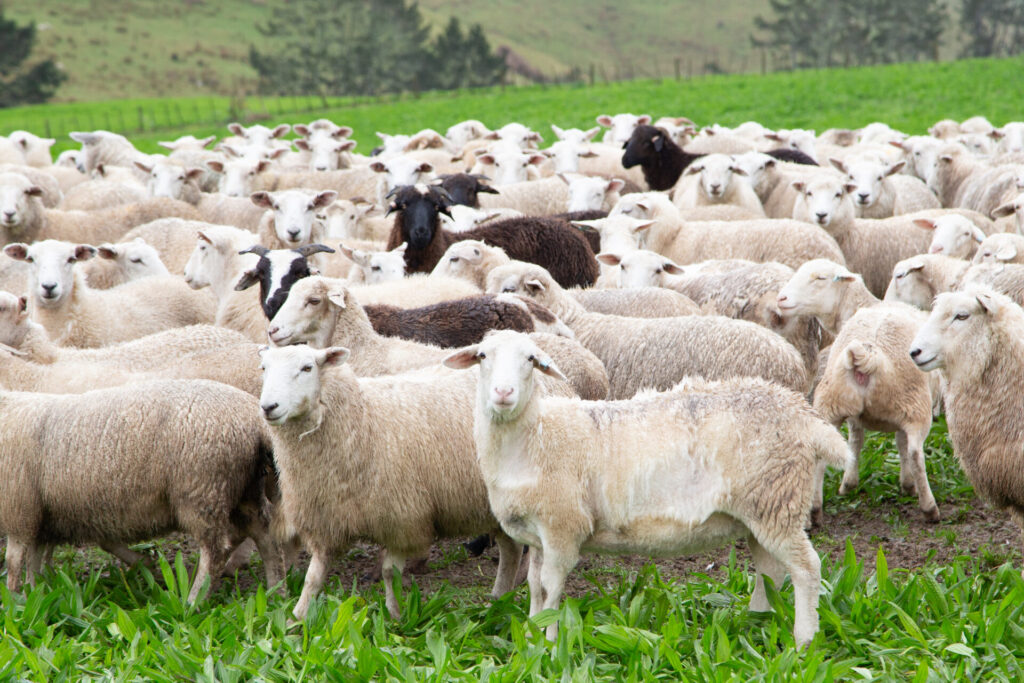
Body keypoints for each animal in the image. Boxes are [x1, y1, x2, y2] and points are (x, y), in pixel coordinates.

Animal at [0, 378, 281, 601]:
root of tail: (254, 420)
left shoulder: (19, 510)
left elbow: (14, 561)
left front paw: (13, 601)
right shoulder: (38, 515)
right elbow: (34, 562)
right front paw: (34, 593)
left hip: (201, 490)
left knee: (215, 551)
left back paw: (194, 601)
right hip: (245, 487)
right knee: (264, 533)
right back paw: (277, 590)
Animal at [443, 330, 847, 645]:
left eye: (530, 359)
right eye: (482, 356)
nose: (503, 392)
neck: (536, 436)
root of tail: (802, 413)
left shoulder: (563, 528)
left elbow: (552, 586)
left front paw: (551, 642)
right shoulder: (539, 535)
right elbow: (535, 586)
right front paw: (530, 634)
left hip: (777, 498)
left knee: (807, 568)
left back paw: (804, 639)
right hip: (760, 510)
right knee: (770, 569)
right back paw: (756, 621)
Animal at [775, 259, 939, 522]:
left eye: (820, 278)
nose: (781, 298)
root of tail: (866, 356)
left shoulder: (855, 414)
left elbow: (856, 440)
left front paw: (848, 483)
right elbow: (900, 444)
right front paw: (907, 484)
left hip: (831, 402)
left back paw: (815, 510)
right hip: (915, 404)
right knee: (916, 452)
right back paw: (930, 508)